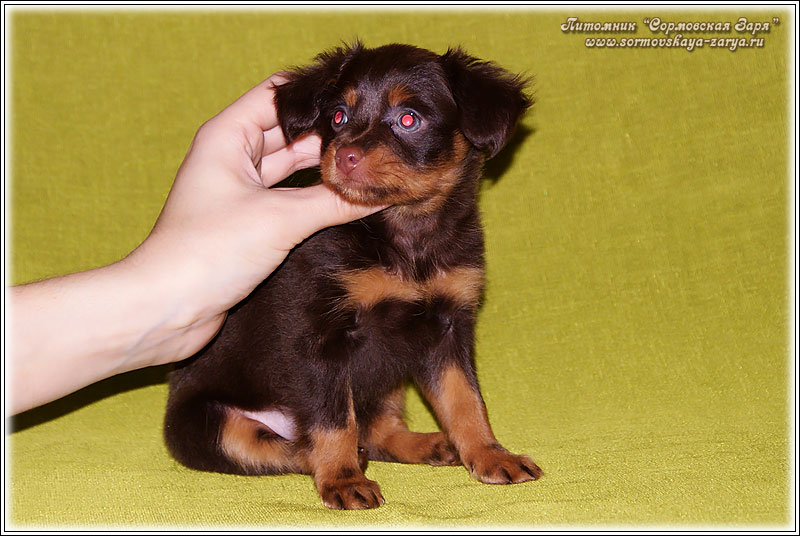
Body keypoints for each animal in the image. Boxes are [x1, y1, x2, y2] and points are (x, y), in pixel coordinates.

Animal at [164, 42, 541, 510]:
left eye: (409, 119)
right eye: (338, 117)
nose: (344, 157)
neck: (406, 231)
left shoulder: (449, 327)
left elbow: (465, 400)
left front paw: (490, 455)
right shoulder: (318, 337)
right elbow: (333, 420)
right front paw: (342, 480)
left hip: (388, 385)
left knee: (378, 428)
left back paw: (432, 445)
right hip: (211, 425)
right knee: (292, 445)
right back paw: (346, 462)